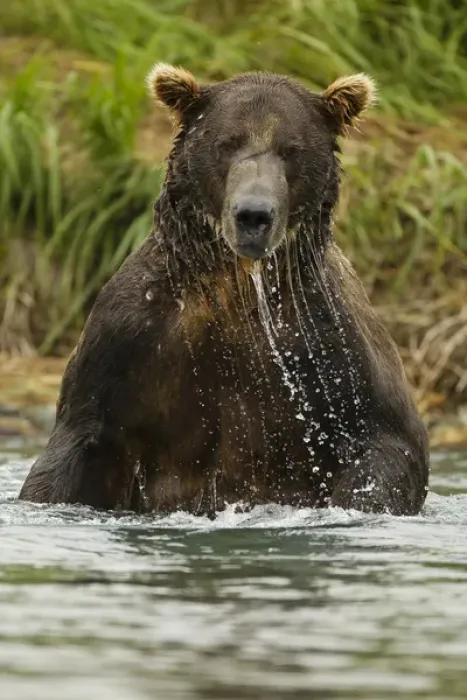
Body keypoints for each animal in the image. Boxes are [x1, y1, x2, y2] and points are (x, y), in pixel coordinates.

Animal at [19, 64, 429, 516]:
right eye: (226, 143)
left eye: (291, 149)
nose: (253, 214)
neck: (236, 285)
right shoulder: (131, 340)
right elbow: (75, 446)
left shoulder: (326, 344)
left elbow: (387, 443)